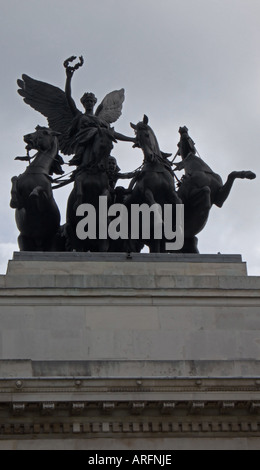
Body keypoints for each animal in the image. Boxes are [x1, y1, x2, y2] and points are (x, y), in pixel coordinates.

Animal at [65, 123, 117, 252]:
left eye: (111, 147)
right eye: (101, 144)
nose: (103, 166)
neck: (93, 171)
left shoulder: (106, 189)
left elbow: (105, 195)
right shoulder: (79, 182)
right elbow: (79, 190)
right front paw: (78, 205)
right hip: (74, 232)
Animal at [124, 115, 183, 252]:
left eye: (147, 135)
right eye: (138, 142)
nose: (149, 157)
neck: (155, 166)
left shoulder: (171, 192)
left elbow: (178, 204)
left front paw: (178, 229)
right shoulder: (147, 191)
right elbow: (154, 206)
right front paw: (159, 222)